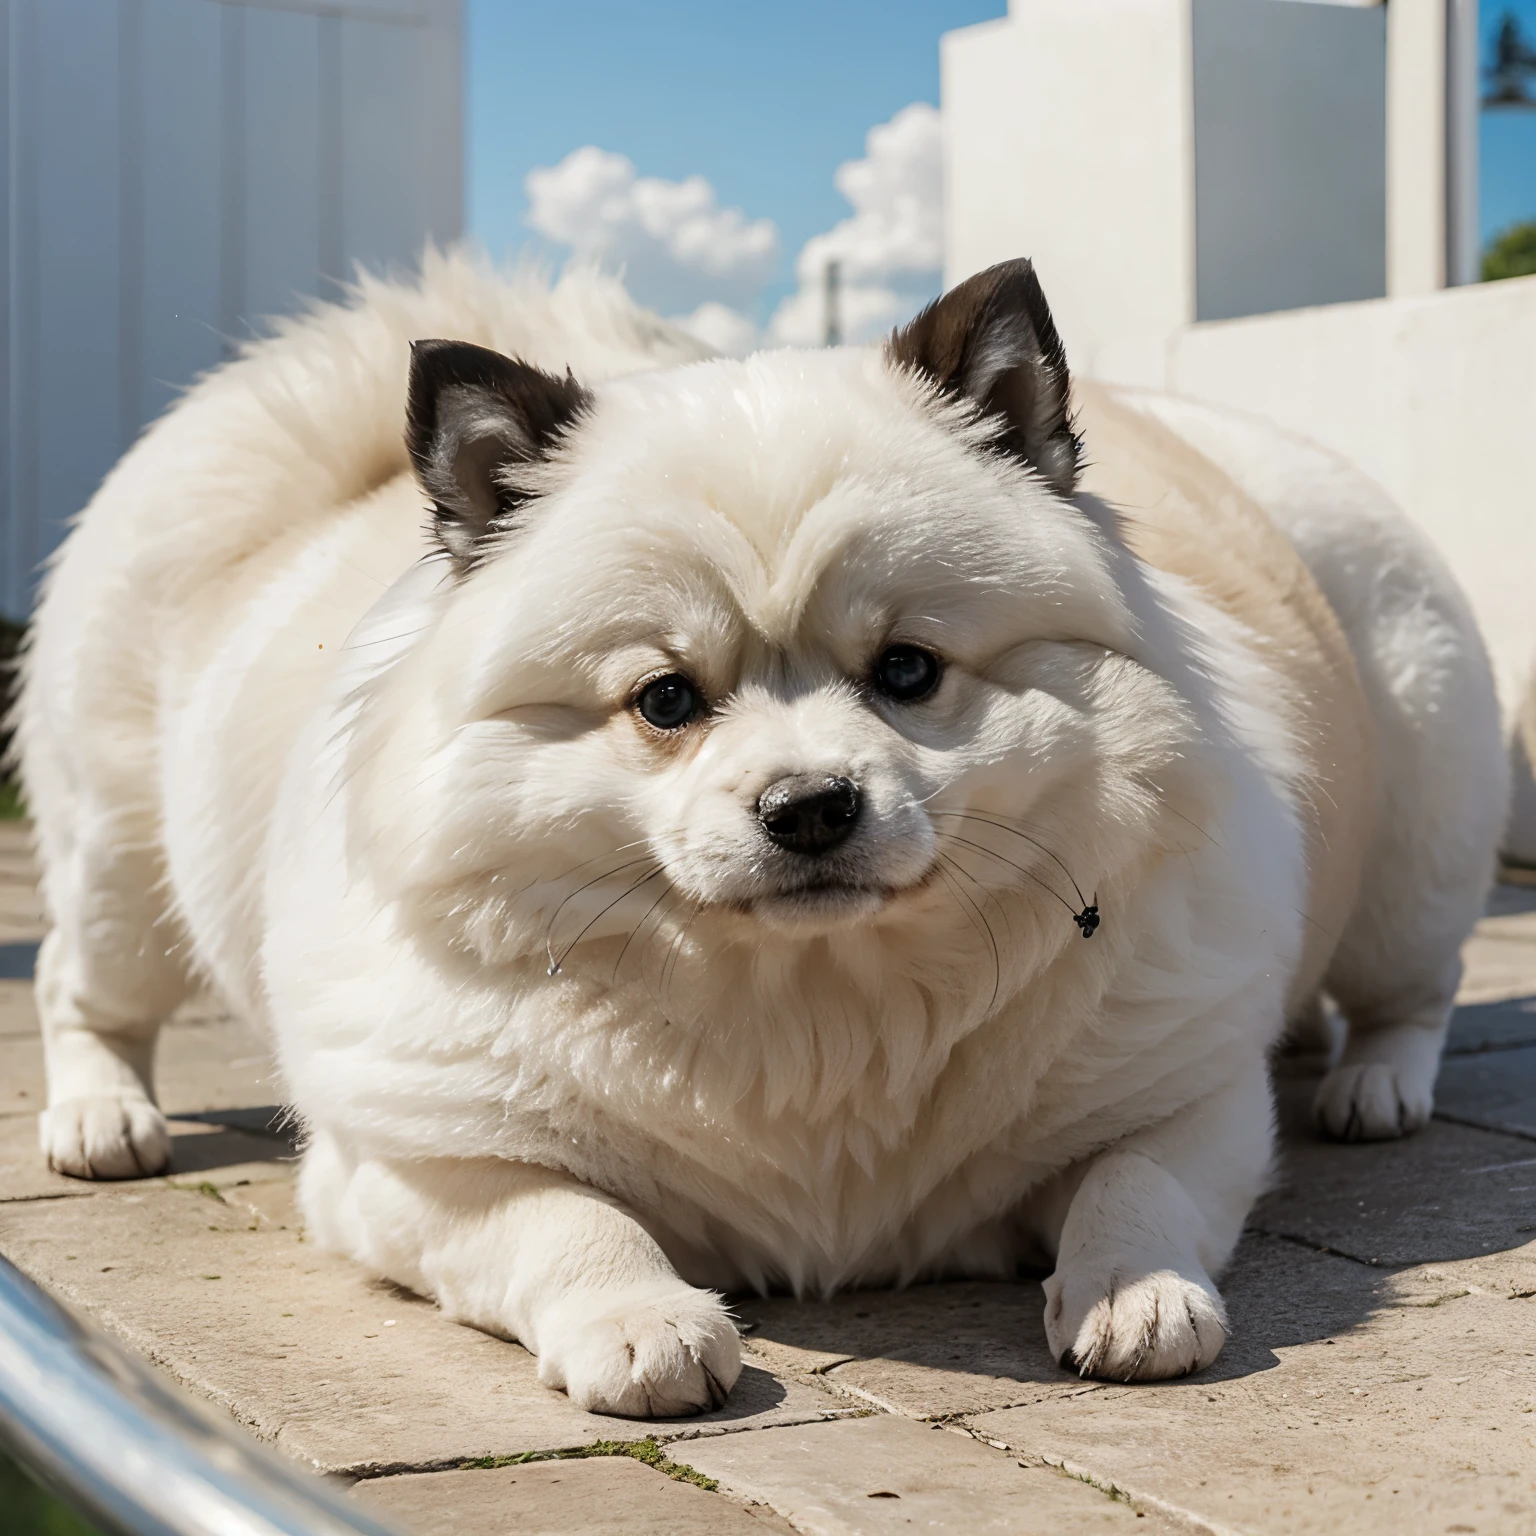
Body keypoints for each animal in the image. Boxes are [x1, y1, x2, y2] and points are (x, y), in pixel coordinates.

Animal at [21, 254, 1499, 1413]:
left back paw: (1376, 1084)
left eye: (908, 670)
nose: (810, 806)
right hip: (124, 879)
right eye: (665, 700)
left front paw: (1133, 1292)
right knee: (78, 987)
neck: (819, 1014)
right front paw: (642, 1322)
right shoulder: (412, 1166)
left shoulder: (1186, 1100)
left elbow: (1135, 1184)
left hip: (1417, 835)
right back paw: (101, 1118)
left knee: (1411, 985)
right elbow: (563, 1217)